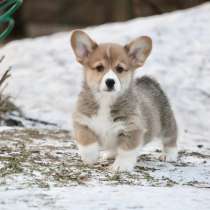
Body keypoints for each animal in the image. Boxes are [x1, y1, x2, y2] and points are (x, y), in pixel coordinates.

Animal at [70, 30, 177, 172]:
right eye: (99, 68)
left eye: (120, 69)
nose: (110, 81)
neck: (106, 100)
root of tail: (148, 80)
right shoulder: (82, 122)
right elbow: (86, 141)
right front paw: (90, 157)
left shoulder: (132, 128)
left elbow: (126, 151)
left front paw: (121, 166)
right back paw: (110, 154)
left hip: (166, 122)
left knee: (171, 136)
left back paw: (169, 155)